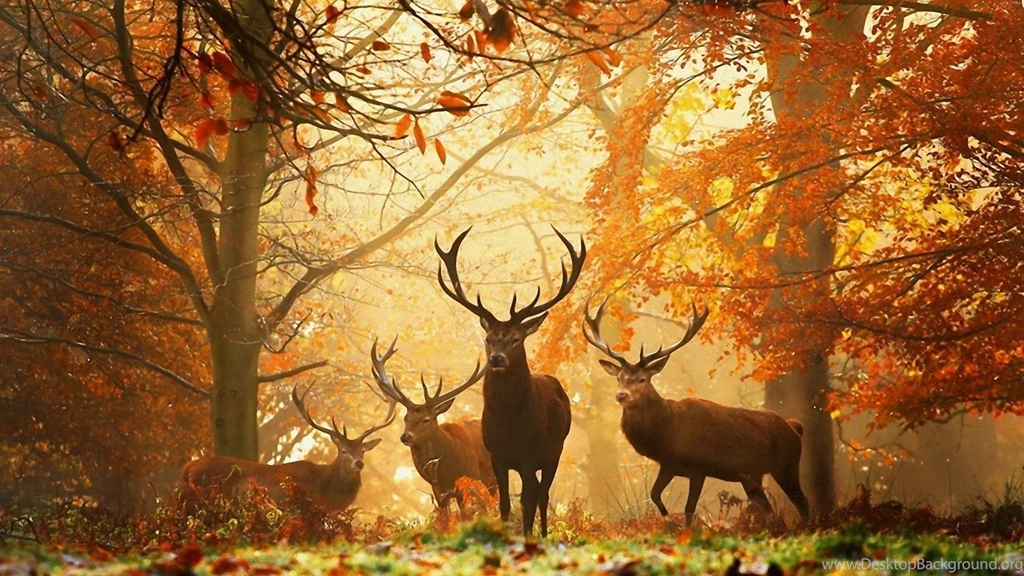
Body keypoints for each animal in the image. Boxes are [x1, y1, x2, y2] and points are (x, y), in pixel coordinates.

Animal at [368, 337, 497, 521]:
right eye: (406, 418)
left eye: (426, 419)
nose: (405, 437)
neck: (448, 468)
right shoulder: (438, 491)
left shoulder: (469, 479)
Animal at [435, 226, 585, 537]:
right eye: (488, 338)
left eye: (516, 339)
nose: (496, 359)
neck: (509, 423)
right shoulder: (497, 456)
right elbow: (504, 503)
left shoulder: (530, 455)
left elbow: (527, 501)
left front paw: (527, 537)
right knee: (538, 492)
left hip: (554, 451)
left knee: (543, 494)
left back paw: (543, 534)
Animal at [582, 299, 809, 527]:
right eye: (619, 377)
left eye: (642, 379)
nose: (621, 395)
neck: (667, 433)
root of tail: (795, 428)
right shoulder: (669, 465)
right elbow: (655, 494)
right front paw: (669, 522)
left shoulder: (699, 467)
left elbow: (689, 508)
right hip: (752, 476)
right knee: (768, 507)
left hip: (787, 464)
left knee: (803, 502)